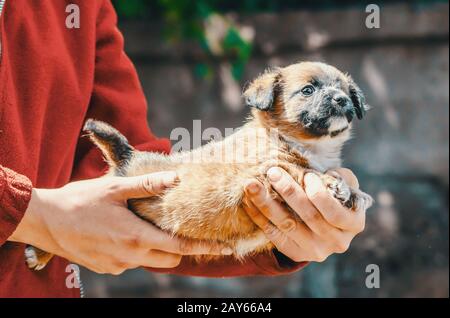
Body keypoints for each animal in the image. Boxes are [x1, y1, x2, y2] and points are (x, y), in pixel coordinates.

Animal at [26, 60, 374, 270]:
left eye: (346, 91)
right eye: (308, 90)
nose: (341, 99)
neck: (310, 145)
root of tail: (129, 158)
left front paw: (349, 188)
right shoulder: (267, 170)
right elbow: (306, 172)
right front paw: (341, 188)